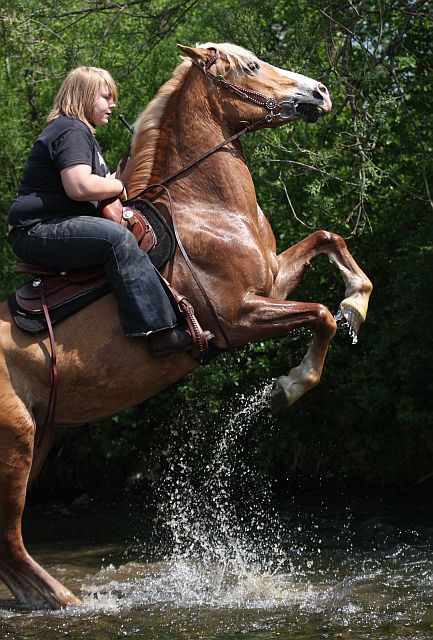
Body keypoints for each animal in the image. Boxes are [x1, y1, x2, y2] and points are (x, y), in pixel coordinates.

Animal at [0, 42, 372, 608]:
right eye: (250, 66)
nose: (320, 92)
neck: (206, 209)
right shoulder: (238, 318)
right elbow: (321, 317)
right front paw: (286, 387)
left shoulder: (272, 283)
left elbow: (328, 240)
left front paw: (357, 302)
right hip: (16, 444)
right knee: (11, 542)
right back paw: (73, 602)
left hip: (39, 437)